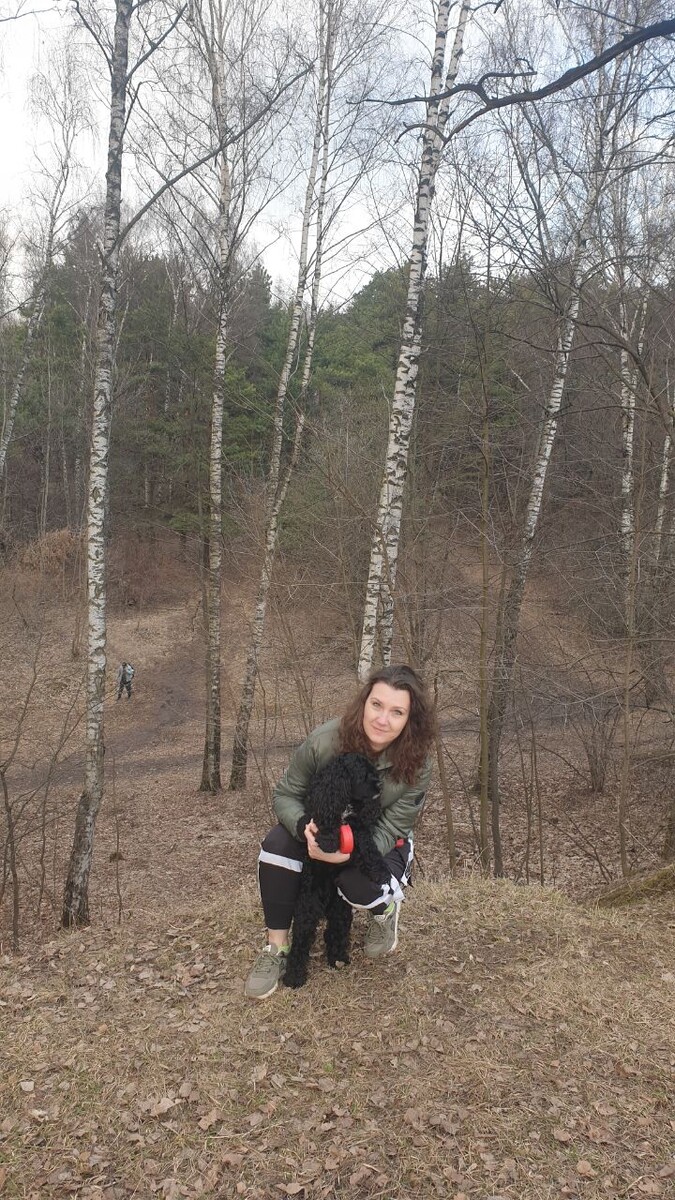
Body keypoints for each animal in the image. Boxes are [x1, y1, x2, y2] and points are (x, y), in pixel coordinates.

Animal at [283, 752, 392, 989]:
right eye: (361, 773)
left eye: (373, 769)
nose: (380, 785)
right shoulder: (319, 815)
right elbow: (325, 827)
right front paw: (329, 840)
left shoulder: (358, 826)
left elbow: (367, 845)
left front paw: (380, 871)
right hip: (307, 909)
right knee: (301, 942)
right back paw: (294, 976)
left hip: (340, 909)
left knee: (335, 932)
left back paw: (338, 958)